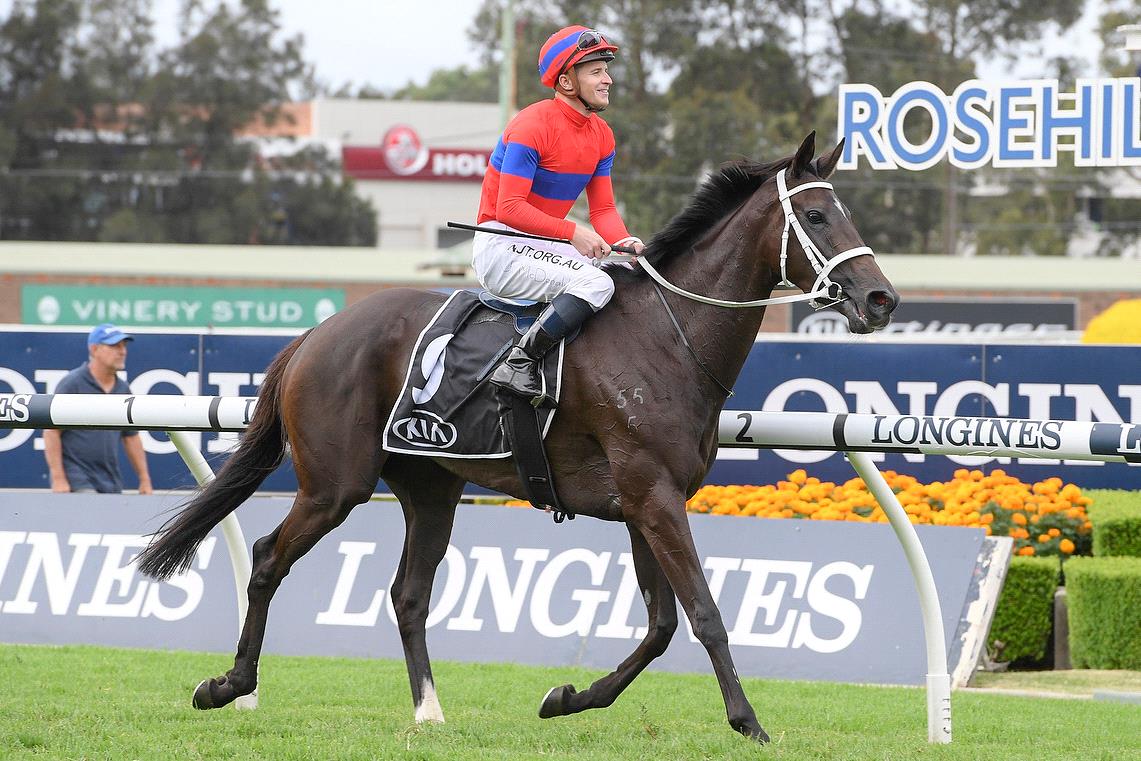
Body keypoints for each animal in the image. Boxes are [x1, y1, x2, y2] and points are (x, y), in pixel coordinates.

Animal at [135, 132, 899, 743]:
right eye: (816, 214)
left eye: (848, 211)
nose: (880, 298)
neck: (668, 335)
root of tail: (315, 335)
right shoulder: (652, 496)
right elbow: (703, 614)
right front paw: (748, 720)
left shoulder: (647, 502)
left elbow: (659, 627)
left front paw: (567, 697)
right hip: (335, 484)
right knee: (269, 557)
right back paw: (227, 685)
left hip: (430, 486)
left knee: (408, 594)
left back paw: (429, 711)